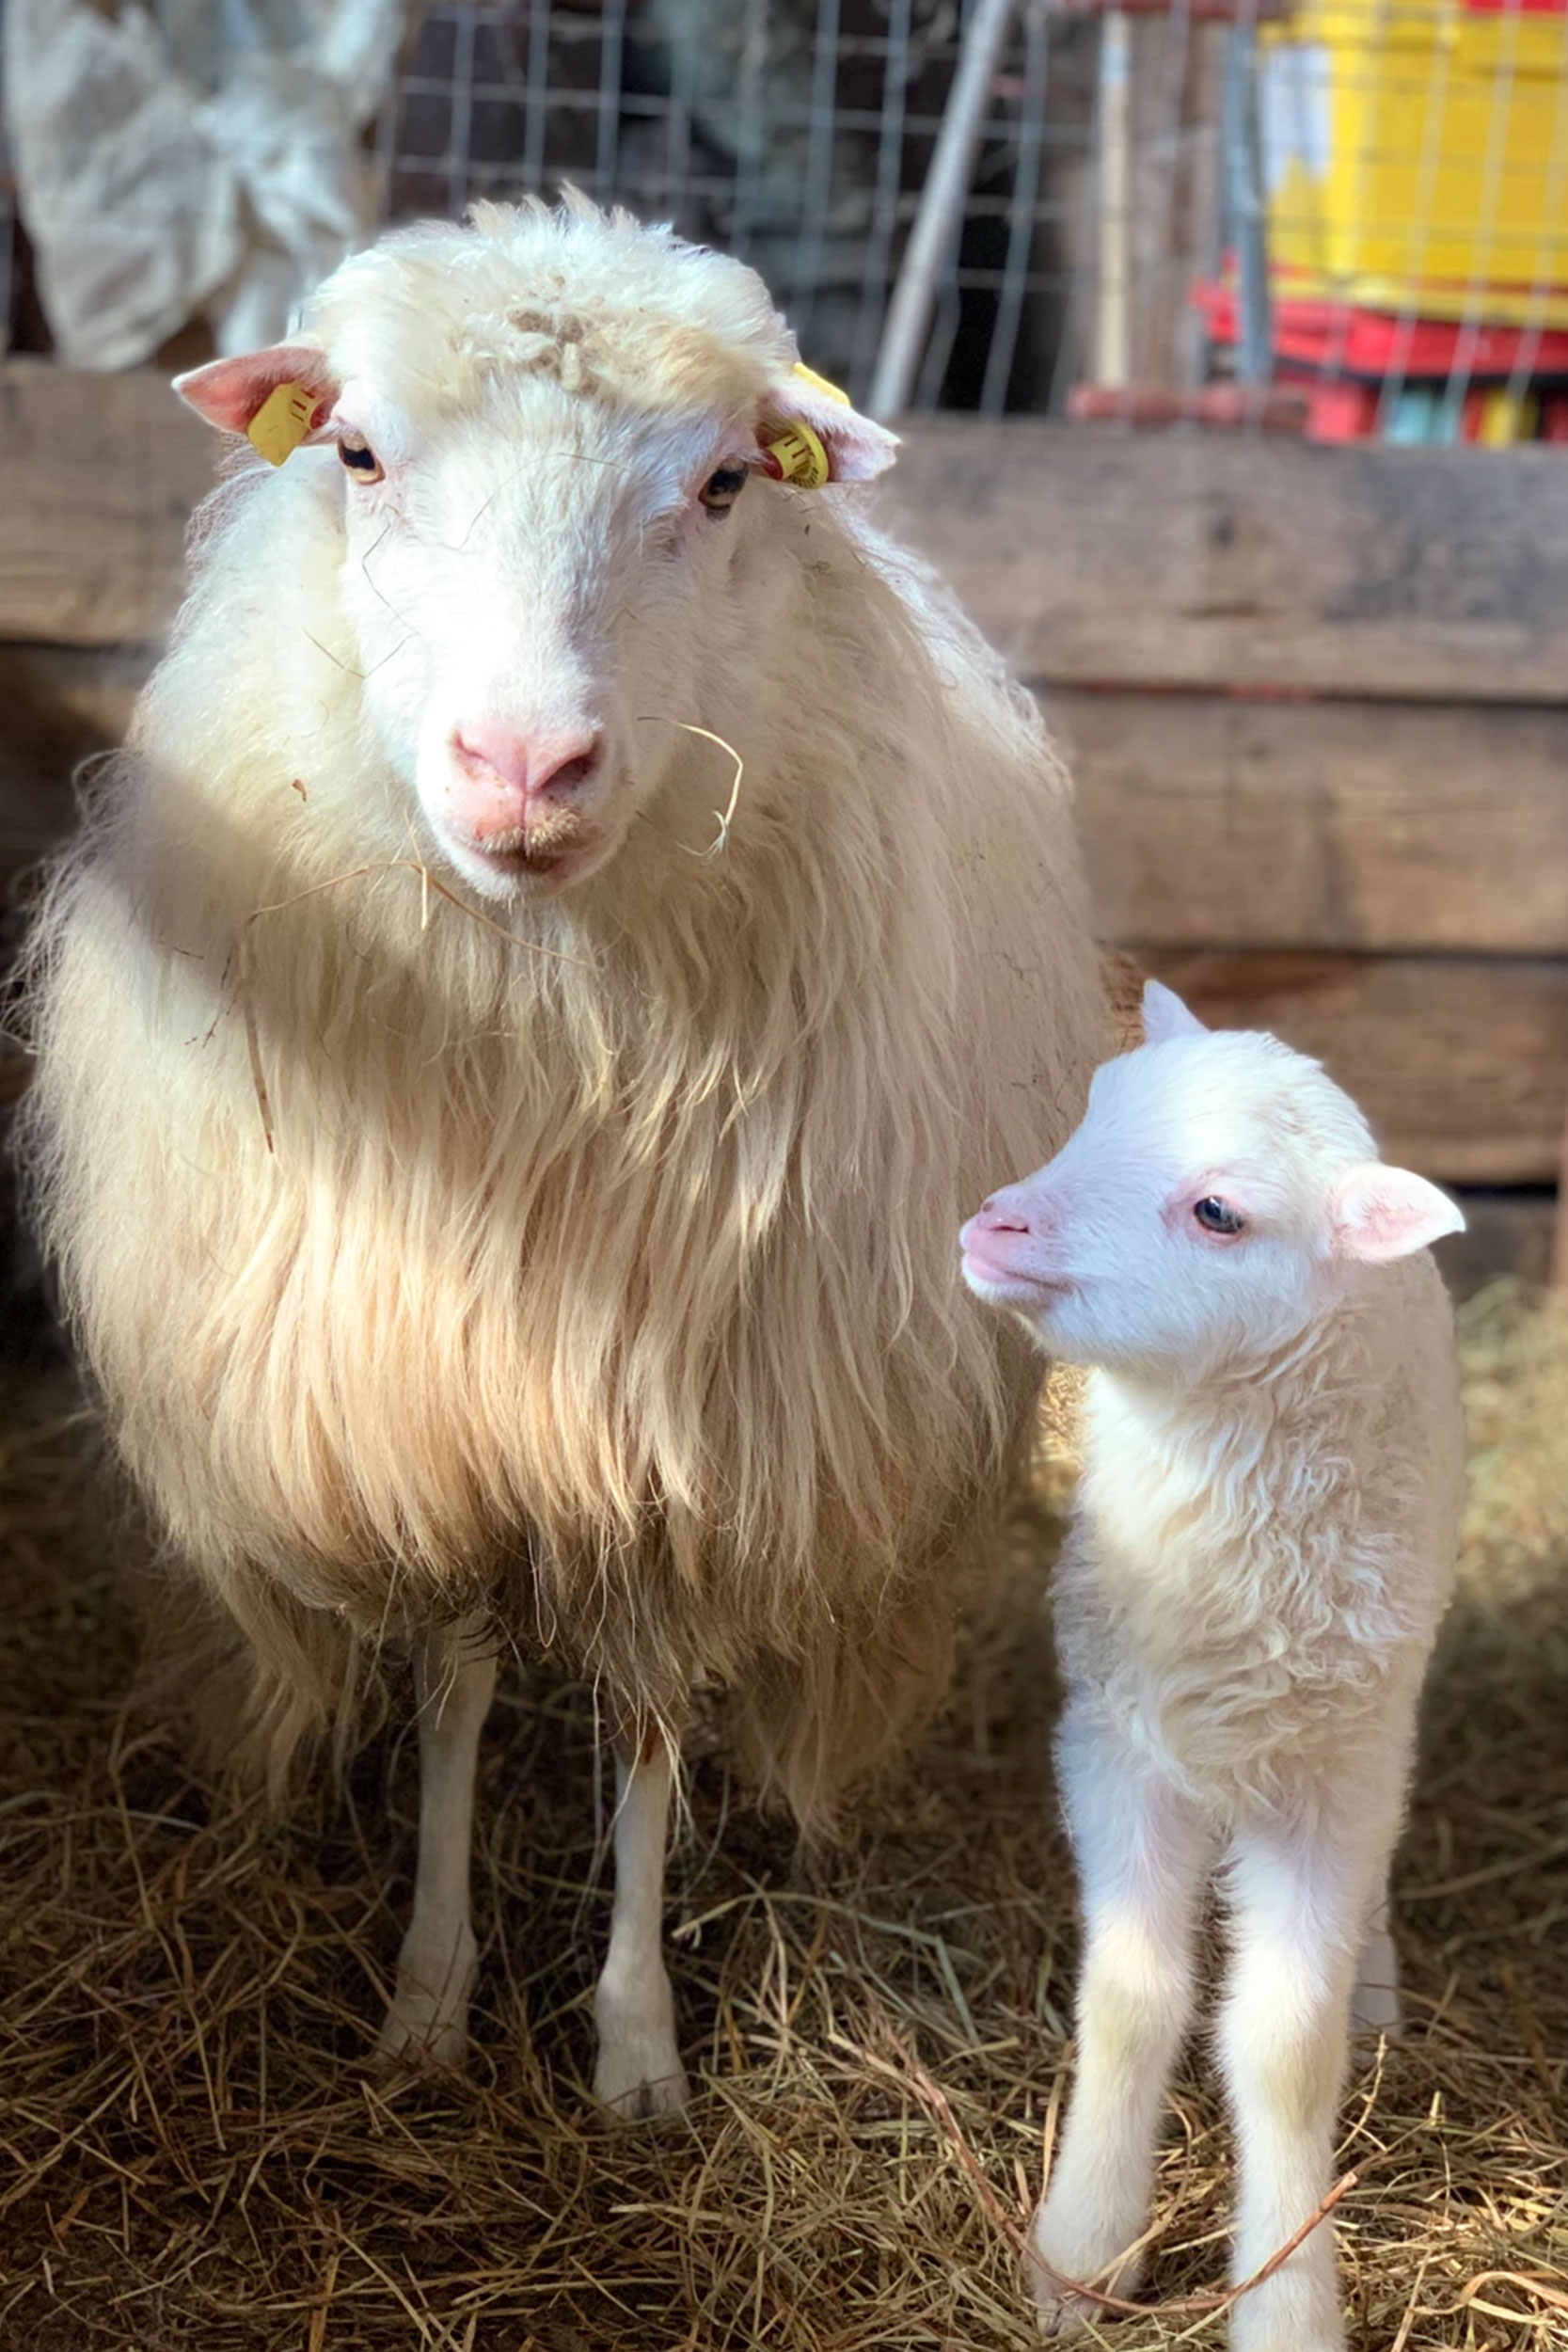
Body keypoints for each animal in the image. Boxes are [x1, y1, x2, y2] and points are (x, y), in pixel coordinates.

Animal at [958, 978, 1476, 2352]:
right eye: (1094, 1107)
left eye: (1215, 1213)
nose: (989, 1222)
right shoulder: (1113, 1743)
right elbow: (1131, 1995)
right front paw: (1083, 2249)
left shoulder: (1329, 1780)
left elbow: (1285, 2047)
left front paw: (1287, 2298)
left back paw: (1375, 1988)